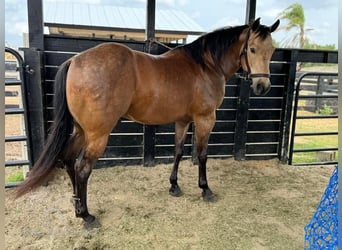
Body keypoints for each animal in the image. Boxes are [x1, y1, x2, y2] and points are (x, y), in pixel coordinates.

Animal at [16, 18, 280, 225]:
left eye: (272, 51)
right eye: (252, 49)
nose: (263, 86)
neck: (205, 65)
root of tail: (76, 60)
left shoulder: (183, 121)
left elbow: (178, 151)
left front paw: (174, 186)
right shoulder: (205, 119)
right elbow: (202, 154)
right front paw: (205, 189)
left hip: (82, 131)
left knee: (69, 159)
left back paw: (76, 203)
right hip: (98, 134)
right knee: (82, 168)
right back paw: (86, 215)